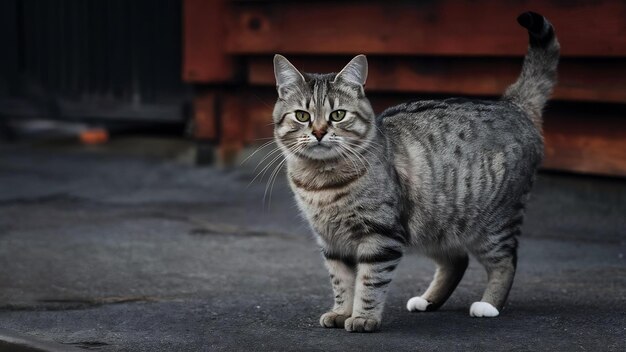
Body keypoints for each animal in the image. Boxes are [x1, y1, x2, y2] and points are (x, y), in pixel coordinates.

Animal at [270, 10, 560, 330]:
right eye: (302, 115)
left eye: (337, 115)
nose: (320, 132)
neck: (322, 181)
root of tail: (514, 105)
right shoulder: (332, 242)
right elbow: (342, 282)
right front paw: (341, 312)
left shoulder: (380, 236)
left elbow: (369, 283)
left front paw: (363, 317)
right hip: (438, 225)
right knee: (457, 261)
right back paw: (427, 300)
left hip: (494, 224)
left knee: (505, 262)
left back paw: (488, 305)